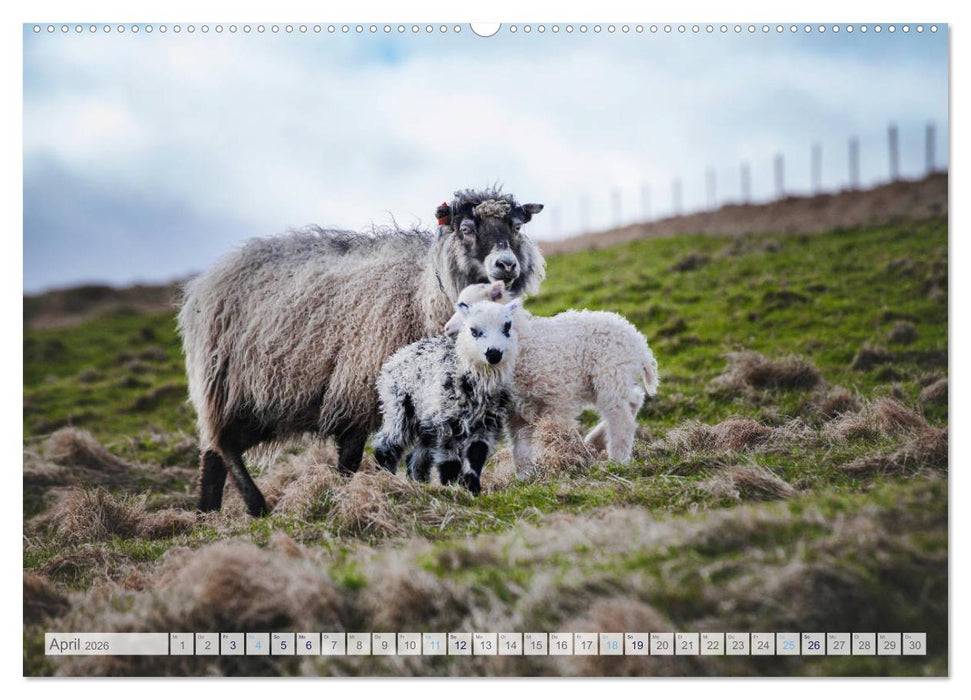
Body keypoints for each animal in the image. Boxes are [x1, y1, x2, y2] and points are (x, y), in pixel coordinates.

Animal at [373, 298, 521, 495]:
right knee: (387, 443)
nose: (494, 353)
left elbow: (476, 454)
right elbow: (449, 458)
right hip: (398, 405)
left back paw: (418, 483)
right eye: (473, 330)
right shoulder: (447, 420)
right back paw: (384, 478)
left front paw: (472, 489)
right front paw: (451, 487)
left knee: (417, 455)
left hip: (427, 418)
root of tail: (397, 356)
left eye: (507, 327)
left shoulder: (487, 420)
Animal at [443, 281, 659, 476]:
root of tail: (638, 339)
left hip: (610, 374)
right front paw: (525, 477)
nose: (447, 328)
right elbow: (520, 446)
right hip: (608, 380)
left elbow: (556, 432)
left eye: (506, 327)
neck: (526, 342)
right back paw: (595, 441)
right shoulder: (516, 409)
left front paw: (561, 462)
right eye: (474, 330)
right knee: (634, 399)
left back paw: (617, 461)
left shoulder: (557, 398)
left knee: (621, 419)